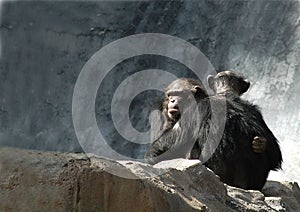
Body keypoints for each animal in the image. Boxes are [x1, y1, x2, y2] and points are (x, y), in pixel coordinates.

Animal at [145, 76, 282, 190]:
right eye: (169, 95)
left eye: (178, 94)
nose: (172, 100)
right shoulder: (256, 112)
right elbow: (275, 154)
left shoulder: (195, 110)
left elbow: (172, 142)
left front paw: (150, 155)